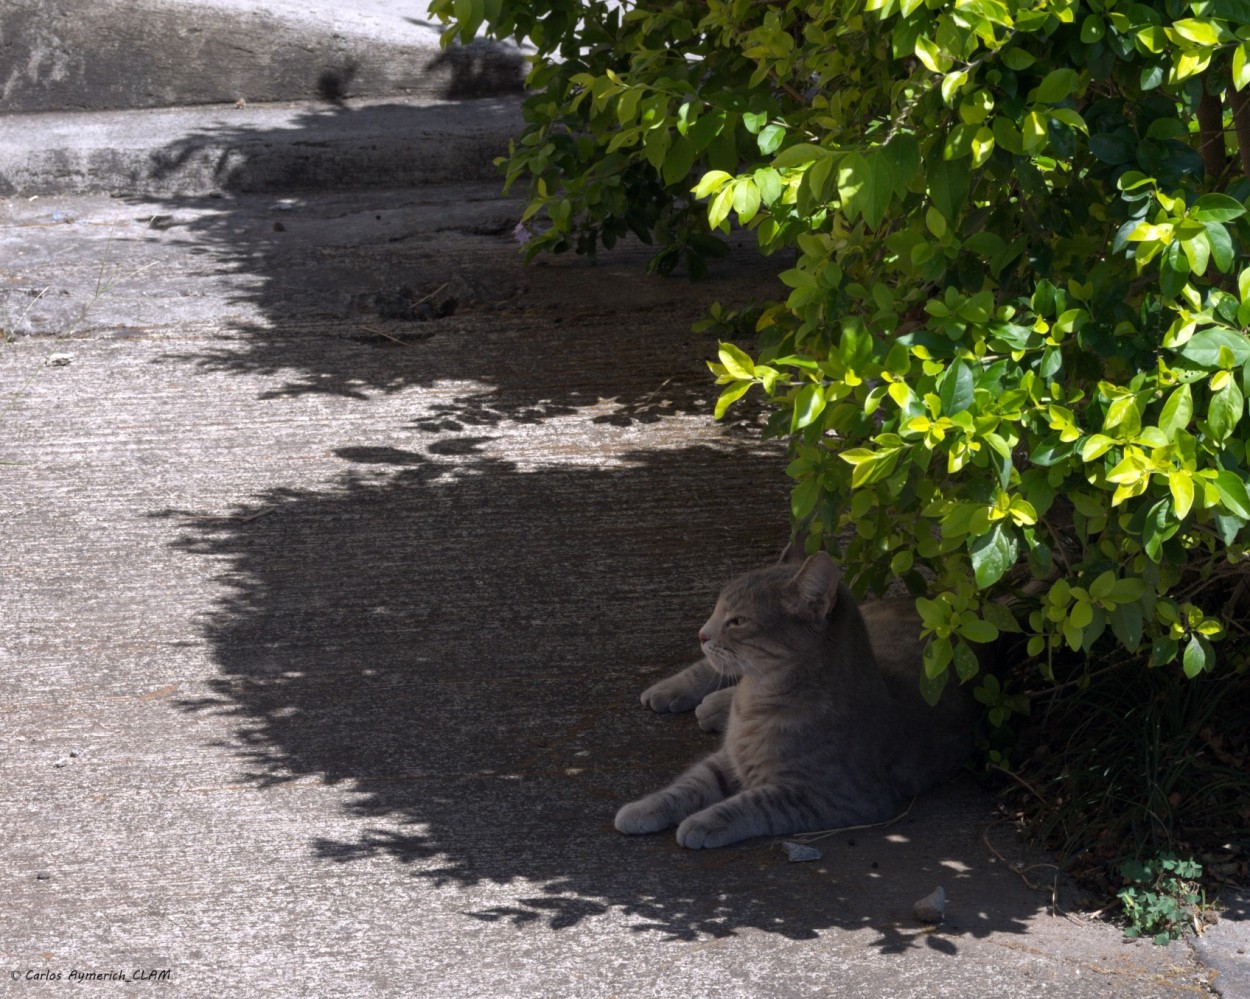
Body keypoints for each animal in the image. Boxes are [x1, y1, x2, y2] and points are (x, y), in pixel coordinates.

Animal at [615, 547, 975, 850]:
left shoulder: (833, 796)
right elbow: (687, 785)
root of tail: (941, 601)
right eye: (717, 611)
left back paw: (712, 708)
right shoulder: (727, 758)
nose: (702, 633)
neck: (755, 701)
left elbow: (752, 803)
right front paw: (643, 808)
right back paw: (673, 692)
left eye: (738, 621)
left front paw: (702, 822)